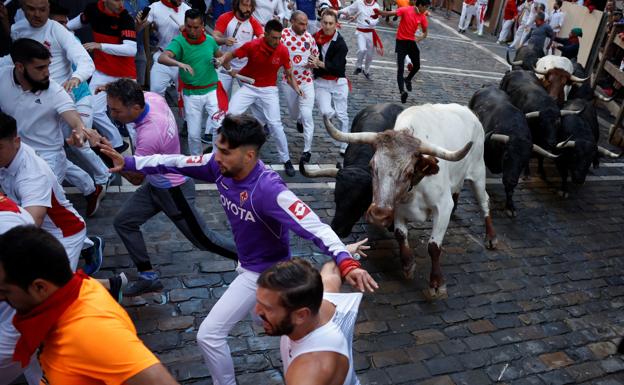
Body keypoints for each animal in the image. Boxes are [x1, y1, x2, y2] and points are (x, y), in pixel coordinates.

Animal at [322, 103, 498, 298]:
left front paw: (436, 283)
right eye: (372, 166)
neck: (415, 188)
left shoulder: (443, 206)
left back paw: (491, 237)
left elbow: (434, 246)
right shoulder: (397, 208)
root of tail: (469, 112)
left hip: (478, 173)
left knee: (484, 201)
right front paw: (408, 265)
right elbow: (400, 235)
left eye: (408, 172)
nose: (378, 215)